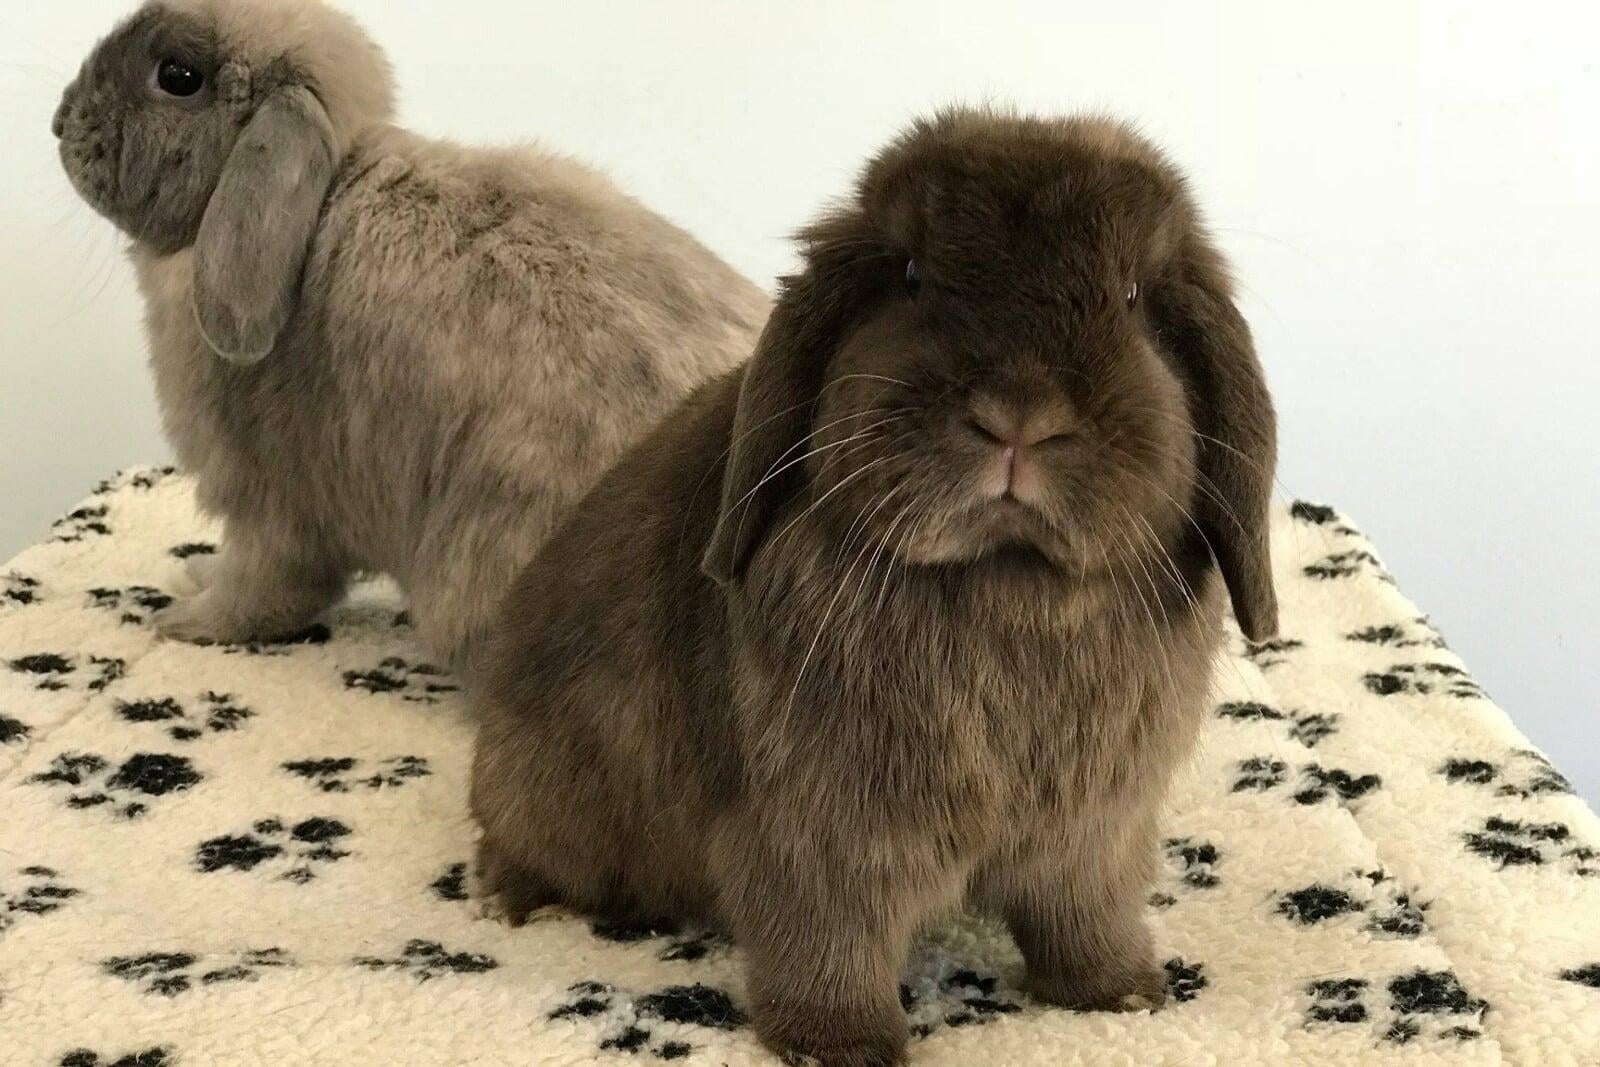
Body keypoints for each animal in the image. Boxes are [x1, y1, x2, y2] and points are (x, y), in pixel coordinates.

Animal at [52, 0, 769, 673]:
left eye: (178, 77)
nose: (59, 121)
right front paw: (193, 574)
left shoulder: (271, 503)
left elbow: (261, 589)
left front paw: (184, 621)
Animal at [470, 106, 1278, 1067]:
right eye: (913, 276)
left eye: (1130, 297)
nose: (1019, 419)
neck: (1003, 579)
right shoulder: (821, 839)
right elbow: (829, 943)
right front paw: (841, 1045)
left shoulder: (1095, 835)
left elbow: (1086, 918)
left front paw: (1122, 996)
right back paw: (515, 899)